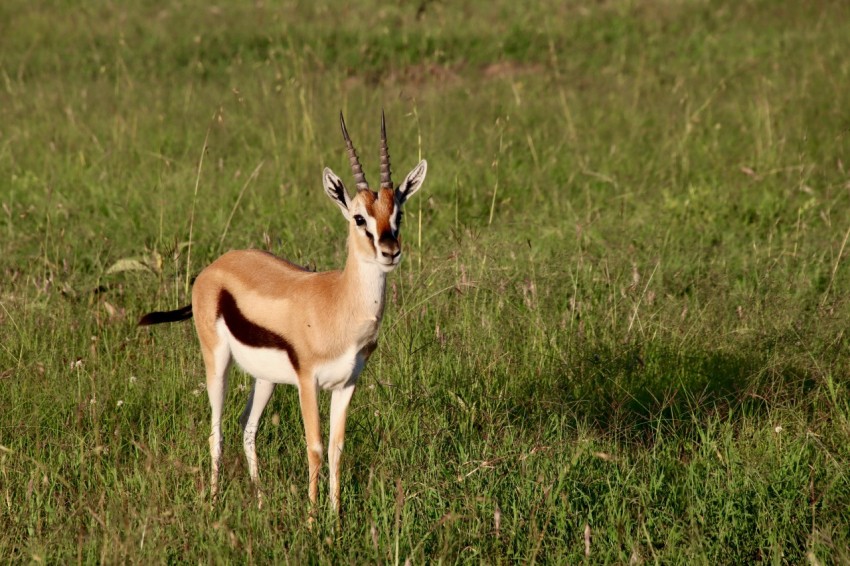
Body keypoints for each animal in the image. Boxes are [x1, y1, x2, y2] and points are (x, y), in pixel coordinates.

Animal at [142, 112, 428, 516]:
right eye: (359, 218)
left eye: (398, 213)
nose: (390, 252)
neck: (338, 304)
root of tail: (213, 268)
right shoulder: (308, 382)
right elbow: (315, 448)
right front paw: (311, 519)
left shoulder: (347, 384)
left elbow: (337, 450)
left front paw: (335, 517)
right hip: (217, 362)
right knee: (216, 430)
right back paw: (213, 500)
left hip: (265, 379)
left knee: (247, 426)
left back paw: (261, 498)